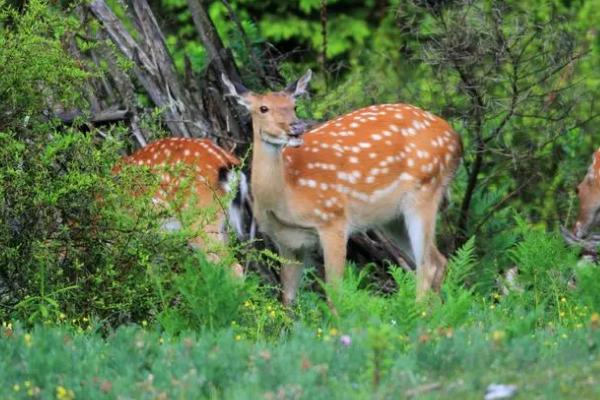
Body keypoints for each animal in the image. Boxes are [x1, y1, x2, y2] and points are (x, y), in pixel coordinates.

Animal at [223, 72, 462, 304]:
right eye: (263, 108)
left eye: (294, 106)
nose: (296, 127)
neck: (286, 197)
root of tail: (456, 138)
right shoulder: (286, 241)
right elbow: (288, 298)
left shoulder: (334, 219)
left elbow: (334, 294)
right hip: (393, 218)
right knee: (439, 261)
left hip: (424, 189)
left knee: (428, 266)